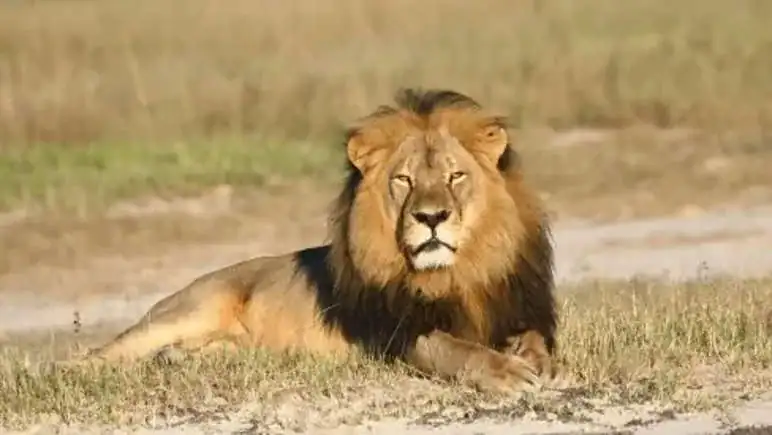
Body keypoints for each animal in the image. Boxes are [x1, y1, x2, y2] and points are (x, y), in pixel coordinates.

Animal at [85, 88, 558, 394]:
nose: (431, 217)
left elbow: (535, 338)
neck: (455, 274)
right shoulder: (393, 335)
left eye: (455, 176)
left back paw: (177, 358)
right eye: (403, 180)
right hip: (187, 310)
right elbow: (452, 348)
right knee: (97, 355)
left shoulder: (520, 308)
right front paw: (507, 373)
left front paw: (533, 358)